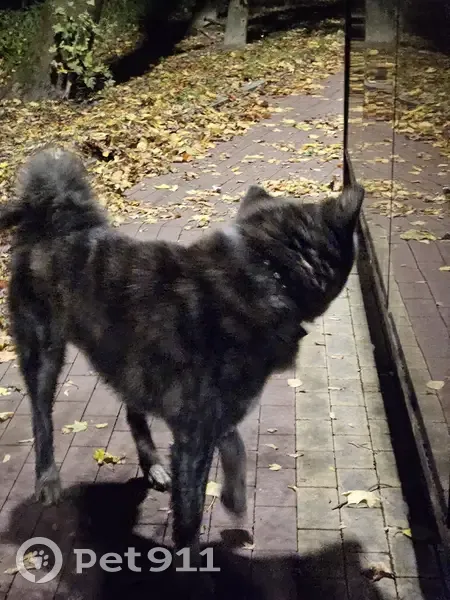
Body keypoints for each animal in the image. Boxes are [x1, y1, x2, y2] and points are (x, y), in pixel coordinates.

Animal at [0, 146, 364, 556]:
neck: (265, 273)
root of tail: (49, 219)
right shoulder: (195, 433)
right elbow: (190, 516)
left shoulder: (209, 415)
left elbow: (234, 443)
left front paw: (234, 496)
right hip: (44, 355)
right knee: (41, 417)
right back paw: (47, 478)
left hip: (130, 361)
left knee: (133, 412)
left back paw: (152, 464)